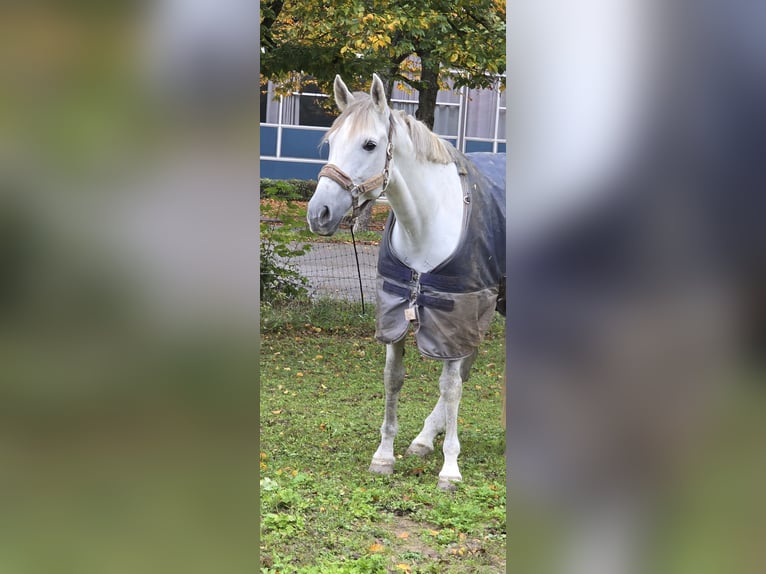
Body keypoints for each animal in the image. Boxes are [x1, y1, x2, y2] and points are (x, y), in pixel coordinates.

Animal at [308, 74, 508, 492]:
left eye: (369, 144)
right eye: (330, 141)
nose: (319, 213)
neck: (428, 222)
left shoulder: (456, 316)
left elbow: (451, 386)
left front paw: (450, 469)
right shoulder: (397, 314)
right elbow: (394, 379)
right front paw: (385, 455)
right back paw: (423, 439)